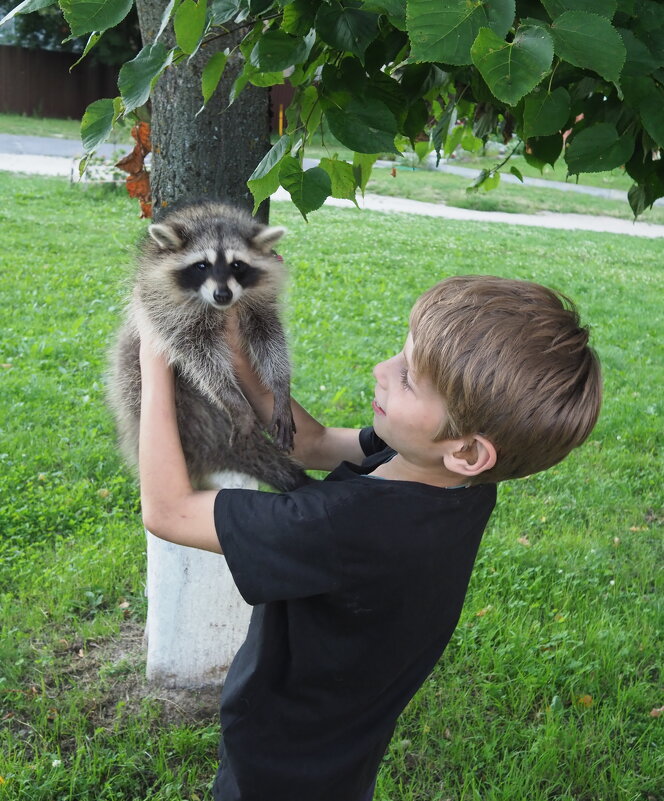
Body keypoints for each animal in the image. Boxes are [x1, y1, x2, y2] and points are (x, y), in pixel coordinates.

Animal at [107, 200, 308, 494]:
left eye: (237, 265)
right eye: (202, 265)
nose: (222, 295)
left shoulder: (260, 305)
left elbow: (271, 339)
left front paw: (281, 385)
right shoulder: (165, 308)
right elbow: (199, 357)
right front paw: (232, 398)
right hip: (134, 368)